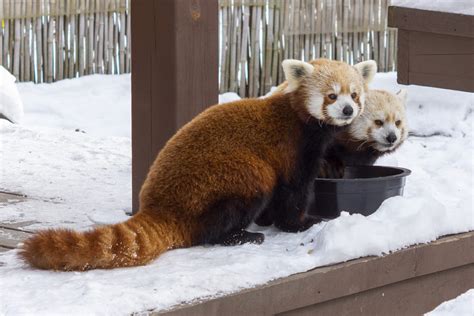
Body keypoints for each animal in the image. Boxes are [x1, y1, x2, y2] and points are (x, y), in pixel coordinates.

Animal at [18, 58, 374, 270]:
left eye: (355, 95)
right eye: (332, 96)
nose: (347, 110)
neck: (303, 120)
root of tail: (160, 205)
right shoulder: (293, 148)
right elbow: (293, 190)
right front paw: (300, 223)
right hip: (231, 175)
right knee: (240, 196)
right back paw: (238, 235)